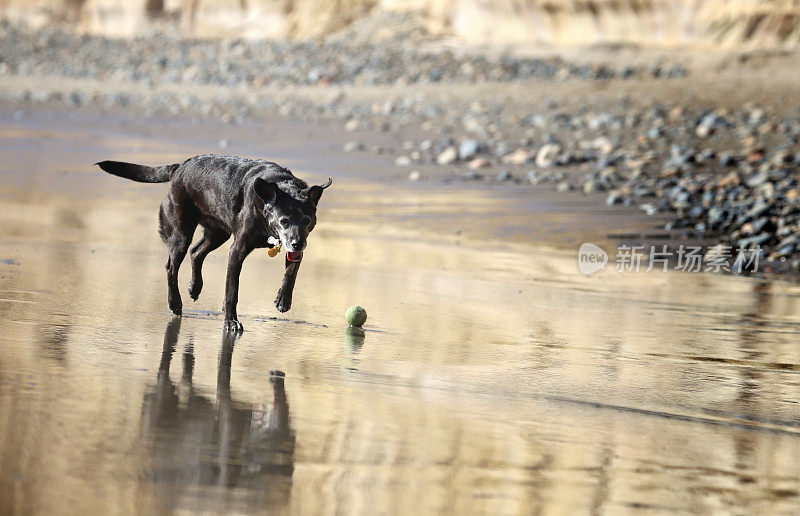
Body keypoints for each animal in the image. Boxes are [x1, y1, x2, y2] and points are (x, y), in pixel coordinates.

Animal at [97, 154, 332, 330]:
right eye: (283, 220)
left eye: (307, 220)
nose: (297, 243)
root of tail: (179, 168)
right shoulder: (237, 250)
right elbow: (231, 291)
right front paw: (231, 322)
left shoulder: (293, 250)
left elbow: (291, 272)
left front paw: (283, 299)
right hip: (180, 234)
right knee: (171, 267)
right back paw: (175, 303)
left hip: (218, 233)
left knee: (196, 252)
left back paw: (195, 287)